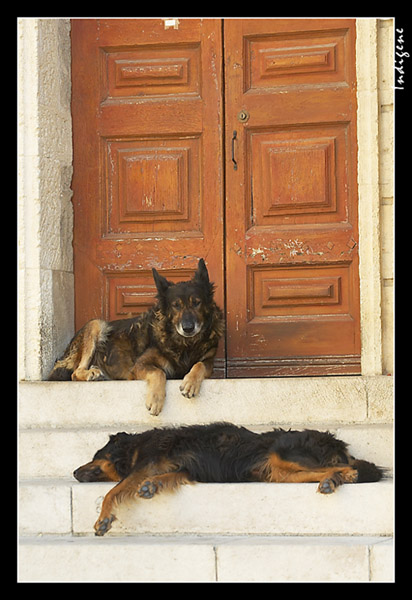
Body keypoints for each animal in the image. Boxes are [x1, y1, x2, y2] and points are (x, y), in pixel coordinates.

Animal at [48, 260, 225, 414]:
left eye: (197, 303)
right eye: (176, 306)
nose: (188, 328)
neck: (185, 344)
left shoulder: (209, 361)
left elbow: (199, 365)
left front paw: (190, 383)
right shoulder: (140, 365)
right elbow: (158, 372)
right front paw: (156, 399)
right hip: (96, 324)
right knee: (74, 373)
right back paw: (90, 373)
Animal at [72, 420, 384, 536]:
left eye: (96, 455)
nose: (74, 472)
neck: (137, 446)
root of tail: (339, 447)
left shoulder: (146, 463)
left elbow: (114, 490)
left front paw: (103, 519)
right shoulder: (184, 468)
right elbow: (170, 475)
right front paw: (152, 486)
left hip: (284, 454)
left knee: (341, 468)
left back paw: (344, 474)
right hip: (280, 473)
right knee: (314, 474)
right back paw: (333, 479)